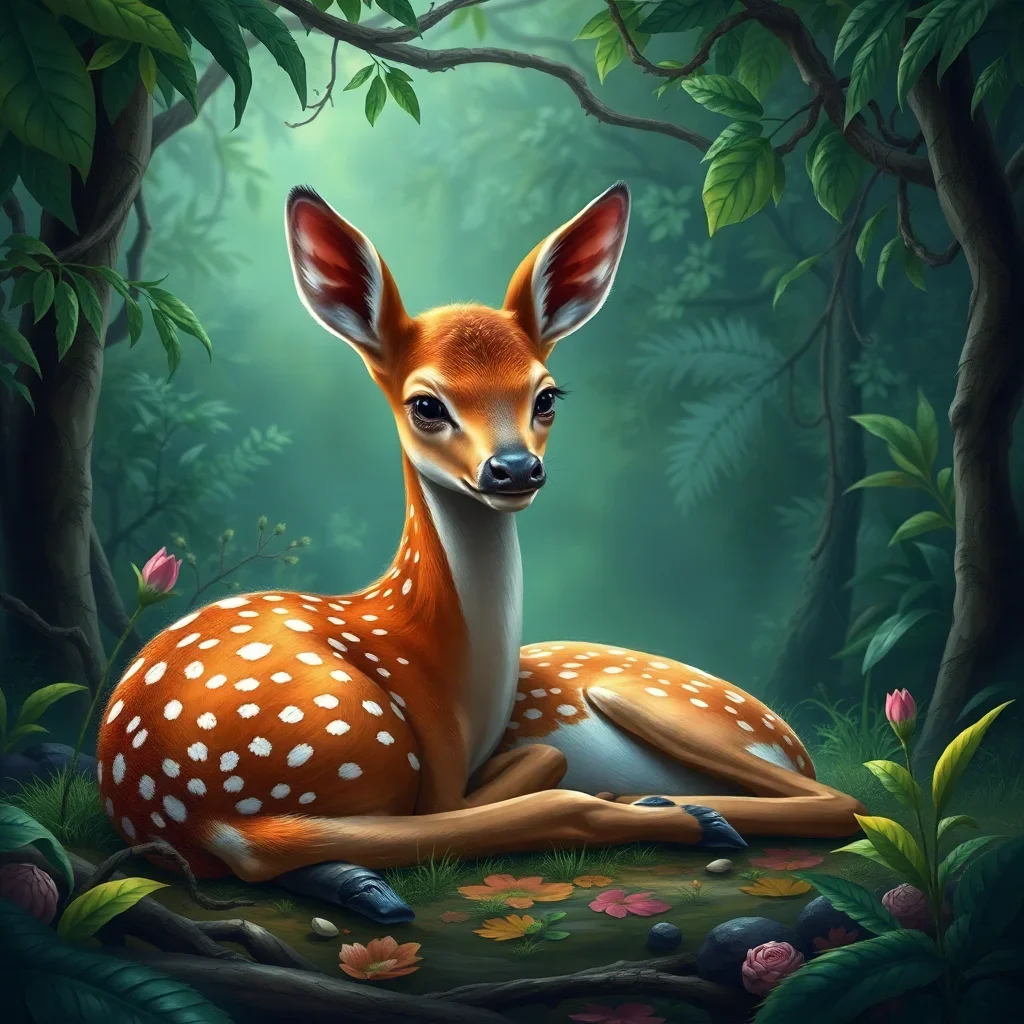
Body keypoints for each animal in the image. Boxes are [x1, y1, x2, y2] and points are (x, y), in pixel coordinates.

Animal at [95, 182, 864, 924]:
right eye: (425, 404)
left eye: (547, 394)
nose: (515, 469)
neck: (445, 659)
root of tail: (184, 803)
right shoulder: (436, 764)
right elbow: (511, 783)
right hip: (364, 739)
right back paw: (681, 815)